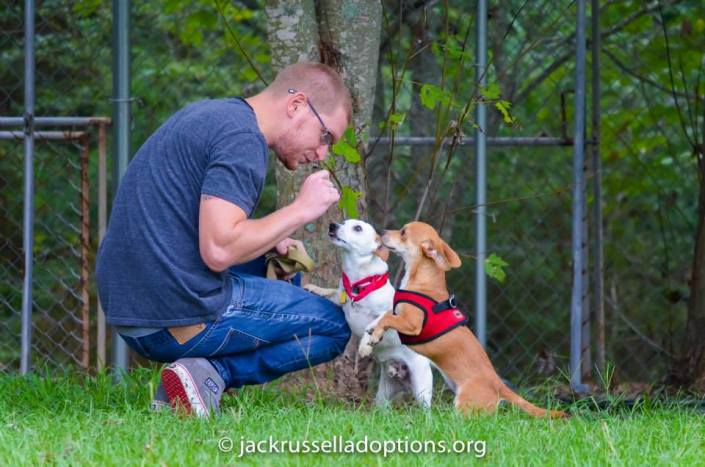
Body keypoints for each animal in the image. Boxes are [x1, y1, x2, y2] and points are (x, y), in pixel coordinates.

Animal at [304, 221, 434, 408]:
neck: (357, 280)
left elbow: (375, 323)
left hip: (421, 389)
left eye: (357, 228)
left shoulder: (391, 312)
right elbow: (330, 292)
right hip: (384, 394)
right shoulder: (339, 298)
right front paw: (315, 288)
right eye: (344, 222)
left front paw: (366, 345)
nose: (332, 225)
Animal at [358, 221, 568, 418]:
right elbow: (382, 317)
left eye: (403, 232)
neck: (421, 281)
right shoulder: (398, 315)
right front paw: (367, 339)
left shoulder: (412, 324)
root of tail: (498, 384)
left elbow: (387, 318)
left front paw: (374, 336)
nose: (382, 232)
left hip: (463, 403)